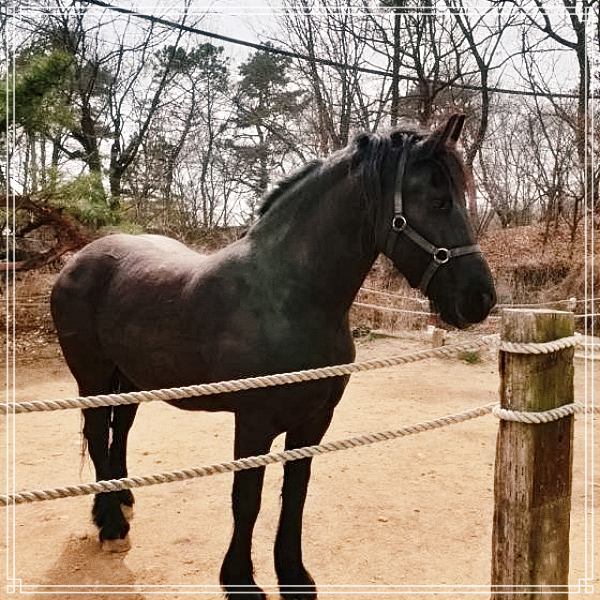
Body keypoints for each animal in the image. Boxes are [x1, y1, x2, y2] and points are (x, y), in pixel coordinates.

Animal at [50, 114, 496, 600]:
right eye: (438, 201)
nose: (480, 299)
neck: (288, 295)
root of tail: (78, 260)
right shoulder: (254, 422)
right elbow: (247, 500)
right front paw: (240, 580)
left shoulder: (315, 420)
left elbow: (295, 495)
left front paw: (294, 575)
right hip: (92, 376)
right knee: (98, 435)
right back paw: (110, 524)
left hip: (130, 378)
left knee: (121, 431)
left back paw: (123, 499)